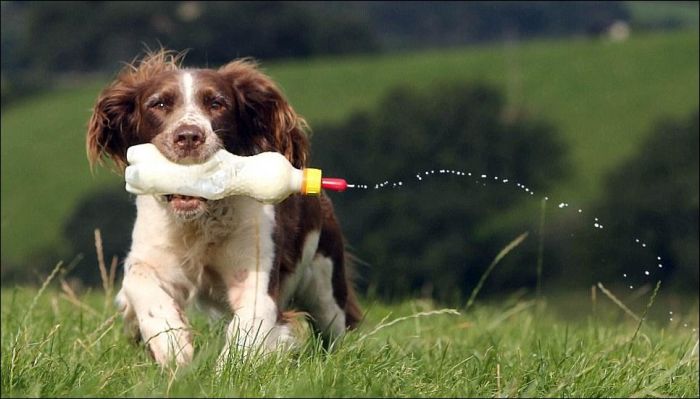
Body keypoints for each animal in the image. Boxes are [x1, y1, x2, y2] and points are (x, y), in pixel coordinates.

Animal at [86, 50, 360, 368]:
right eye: (159, 104)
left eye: (217, 104)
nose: (188, 136)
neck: (201, 220)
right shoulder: (152, 253)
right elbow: (139, 281)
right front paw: (173, 346)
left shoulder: (256, 275)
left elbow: (248, 329)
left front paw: (226, 370)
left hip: (326, 281)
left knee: (335, 324)